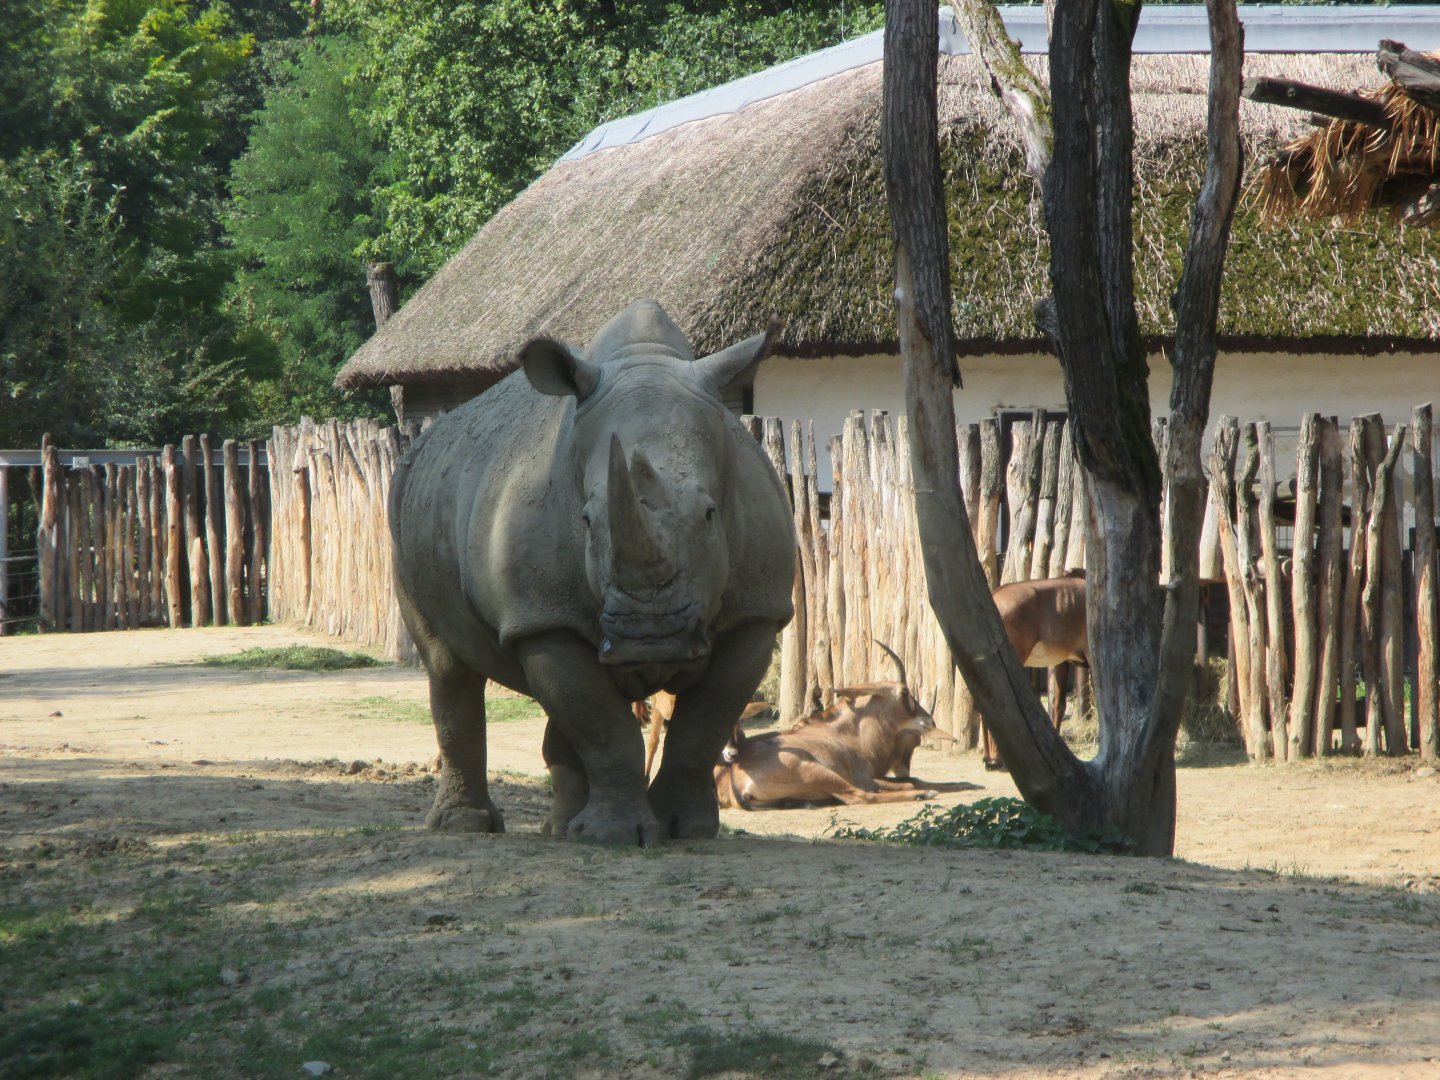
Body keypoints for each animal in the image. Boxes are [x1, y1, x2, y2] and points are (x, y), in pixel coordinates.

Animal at [390, 300, 795, 845]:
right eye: (585, 520)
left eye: (711, 515)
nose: (651, 636)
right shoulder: (542, 616)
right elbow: (603, 727)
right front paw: (614, 836)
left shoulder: (756, 611)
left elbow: (702, 725)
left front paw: (686, 829)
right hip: (402, 504)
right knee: (447, 667)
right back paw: (467, 826)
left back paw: (561, 829)